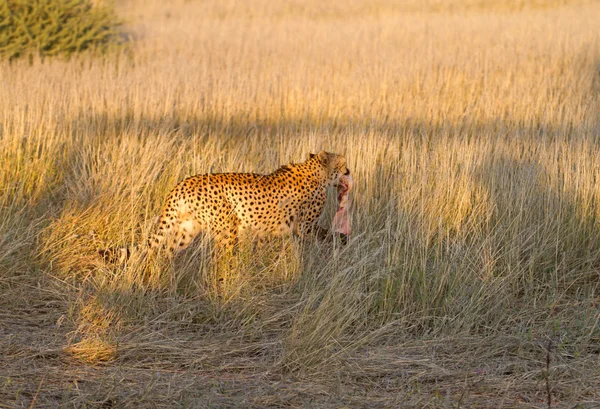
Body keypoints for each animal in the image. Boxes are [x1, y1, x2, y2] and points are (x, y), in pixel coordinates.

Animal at [147, 151, 350, 256]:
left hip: (186, 231)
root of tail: (182, 184)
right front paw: (340, 240)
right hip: (227, 230)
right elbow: (323, 234)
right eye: (343, 164)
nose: (348, 171)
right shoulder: (304, 227)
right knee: (222, 258)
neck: (315, 172)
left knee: (165, 251)